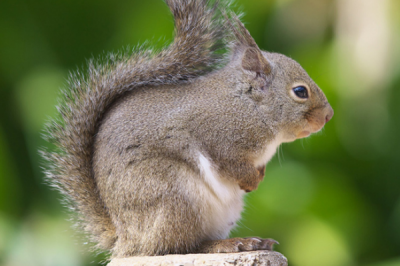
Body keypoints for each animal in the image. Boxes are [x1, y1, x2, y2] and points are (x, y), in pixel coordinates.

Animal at [42, 0, 332, 258]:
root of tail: (126, 238)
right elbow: (233, 164)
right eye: (300, 92)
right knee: (176, 246)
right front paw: (251, 180)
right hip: (173, 195)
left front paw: (259, 176)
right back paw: (228, 245)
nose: (329, 116)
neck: (248, 106)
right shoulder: (219, 139)